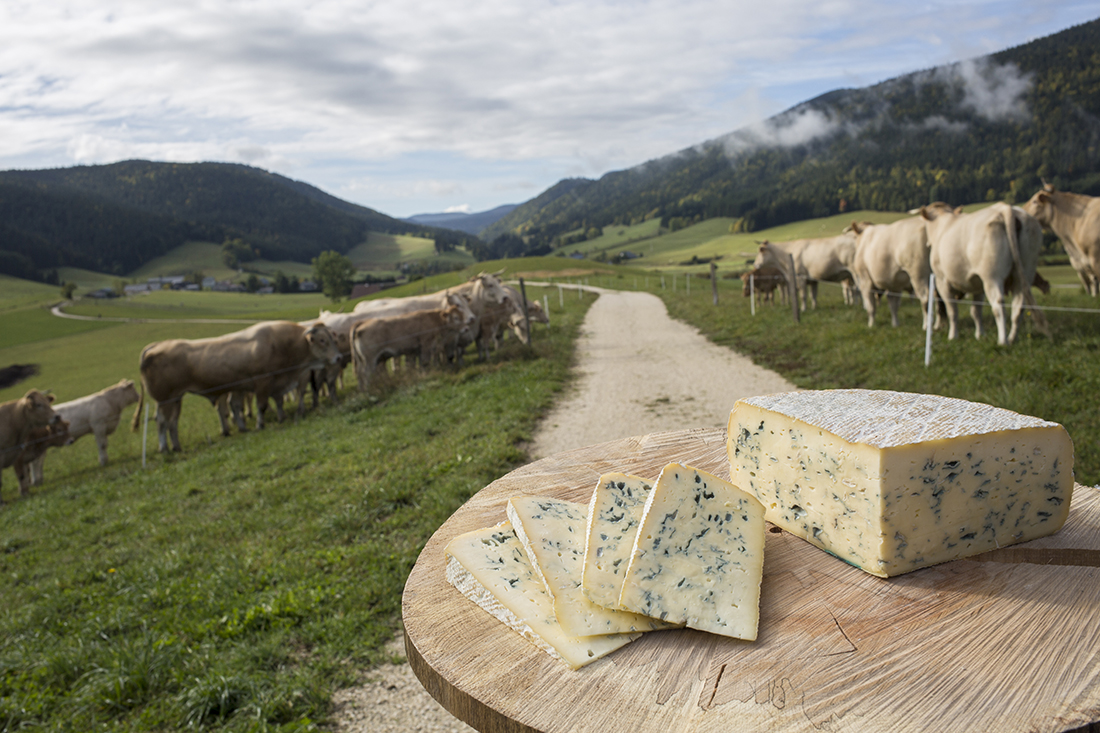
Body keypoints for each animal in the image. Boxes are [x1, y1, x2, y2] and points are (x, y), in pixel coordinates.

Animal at [132, 321, 338, 451]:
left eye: (333, 340)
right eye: (322, 340)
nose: (338, 357)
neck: (282, 343)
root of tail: (156, 346)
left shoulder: (253, 385)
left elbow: (259, 403)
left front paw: (271, 419)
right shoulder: (262, 382)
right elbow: (261, 406)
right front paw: (259, 424)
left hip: (176, 398)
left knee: (172, 422)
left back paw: (176, 446)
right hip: (165, 400)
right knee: (162, 421)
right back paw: (164, 448)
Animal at [919, 201, 1047, 343]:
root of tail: (1005, 208)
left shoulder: (942, 280)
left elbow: (952, 310)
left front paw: (953, 336)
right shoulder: (977, 284)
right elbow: (976, 311)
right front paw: (980, 335)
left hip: (992, 277)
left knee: (998, 305)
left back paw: (1003, 341)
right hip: (1024, 273)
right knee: (1019, 306)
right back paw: (1012, 338)